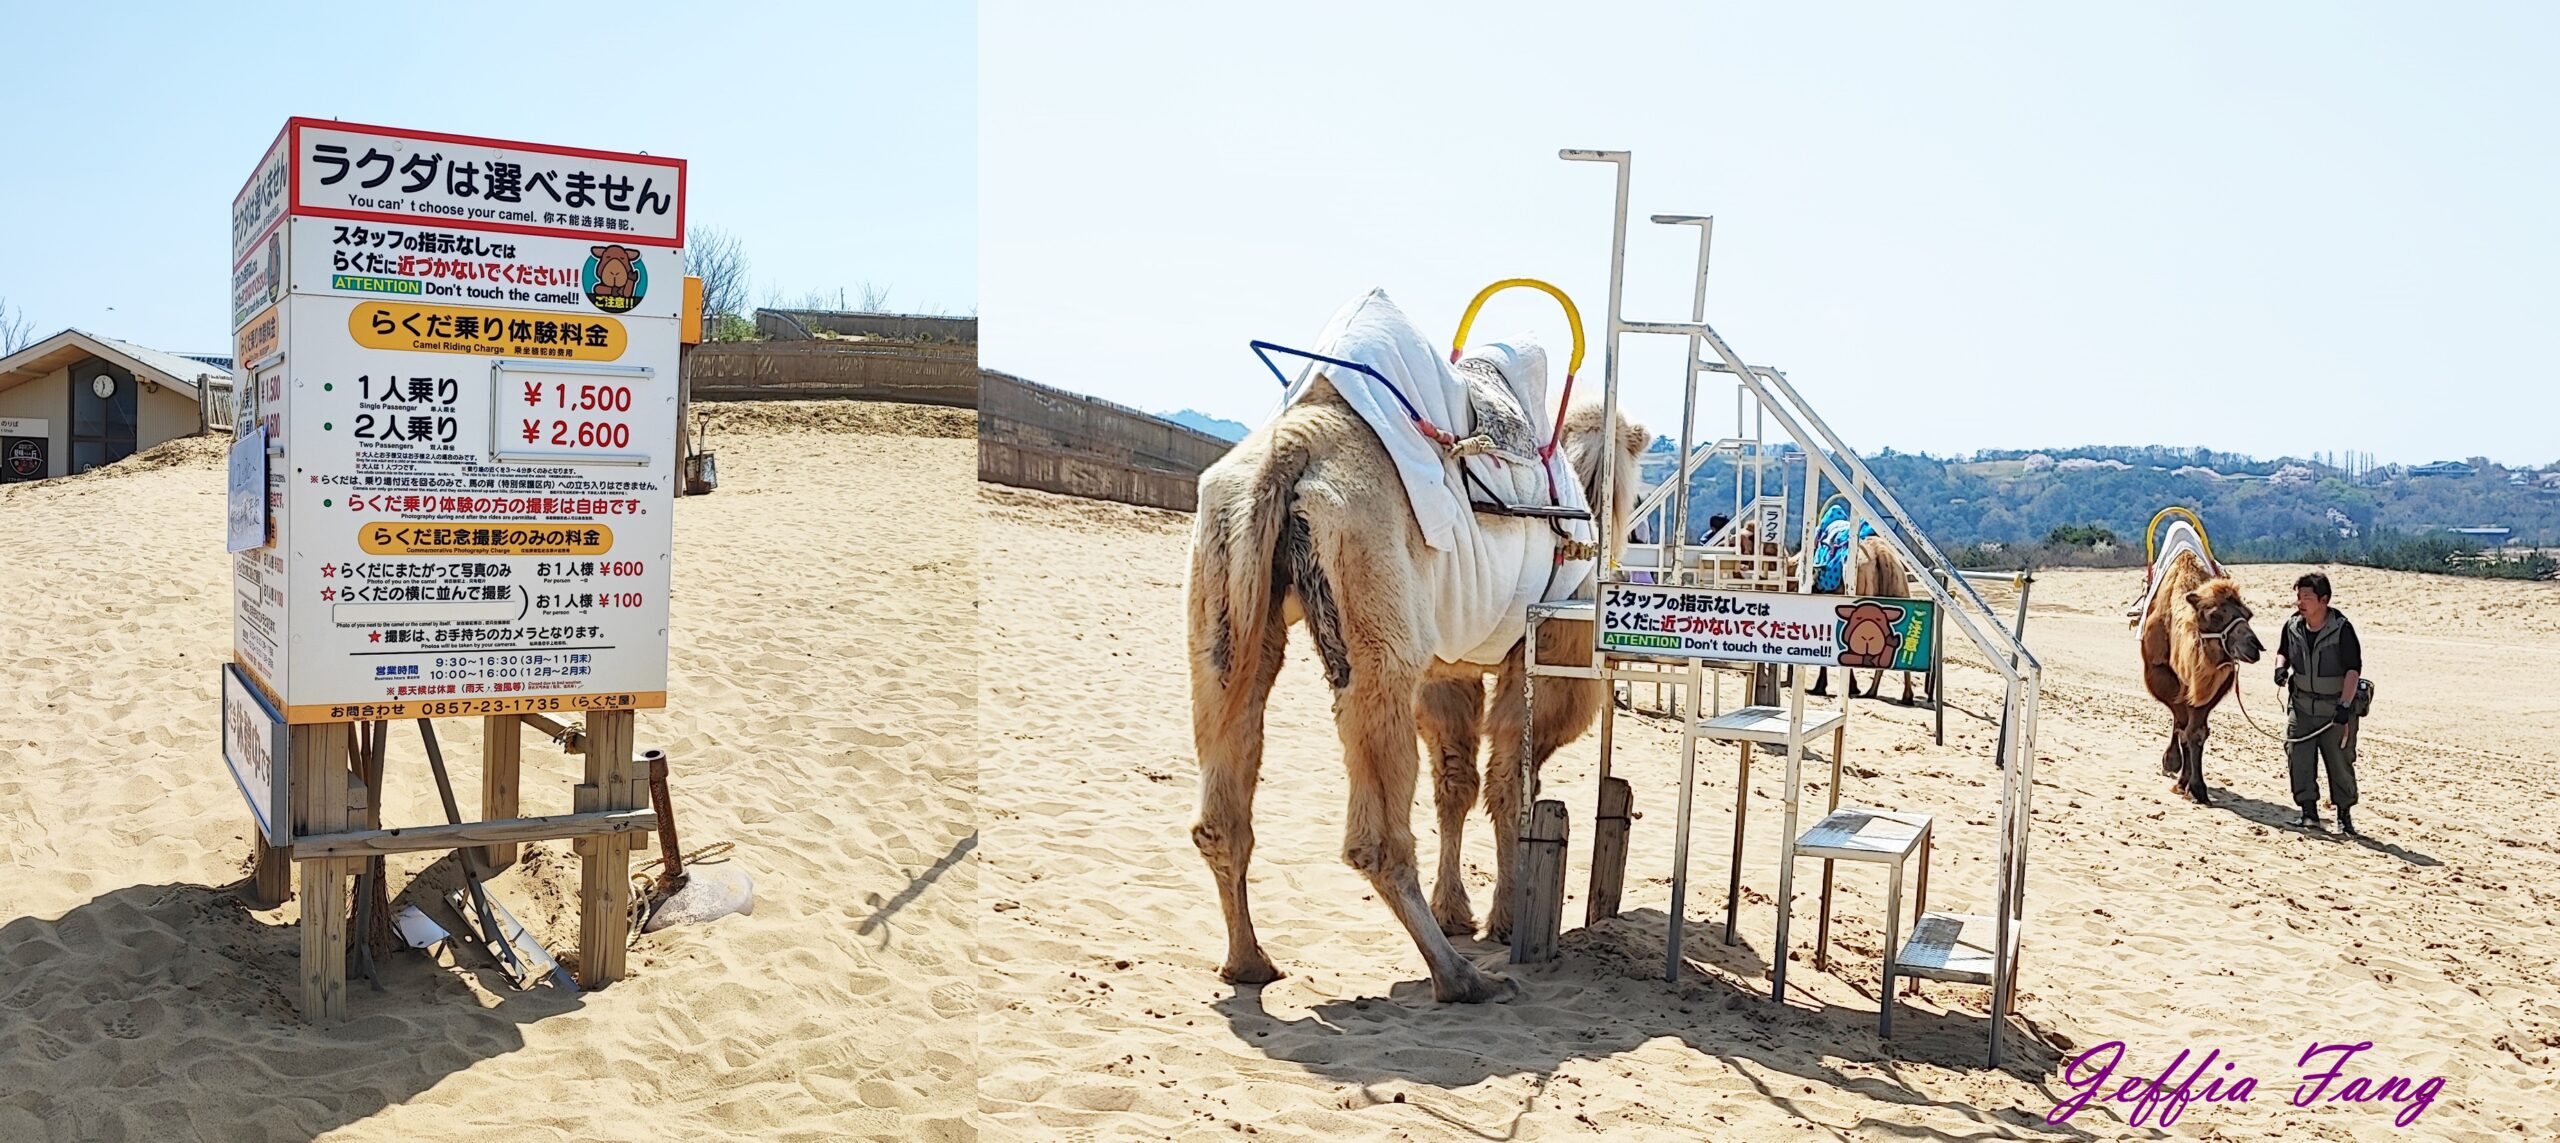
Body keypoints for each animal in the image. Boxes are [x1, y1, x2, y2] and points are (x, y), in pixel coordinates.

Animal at [1192, 384, 1648, 999]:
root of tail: (1291, 446)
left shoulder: (1447, 673)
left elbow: (1457, 784)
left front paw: (1459, 912)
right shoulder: (1545, 665)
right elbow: (1512, 787)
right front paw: (1507, 921)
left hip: (1226, 598)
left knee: (1224, 797)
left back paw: (1249, 963)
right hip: (1376, 620)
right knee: (1378, 838)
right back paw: (1460, 978)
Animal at [2140, 545, 2263, 804]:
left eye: (2248, 614)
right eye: (2214, 615)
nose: (2254, 646)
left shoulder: (2214, 680)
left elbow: (2196, 731)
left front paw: (2194, 787)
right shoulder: (2162, 674)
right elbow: (2184, 728)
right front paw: (2184, 781)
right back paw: (2171, 762)